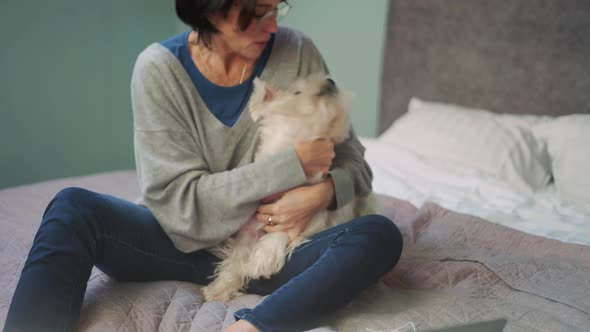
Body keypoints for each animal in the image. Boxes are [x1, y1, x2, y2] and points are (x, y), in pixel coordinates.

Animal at [204, 74, 380, 302]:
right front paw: (218, 289)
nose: (330, 81)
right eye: (297, 91)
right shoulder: (249, 228)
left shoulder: (305, 218)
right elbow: (236, 258)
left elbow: (279, 235)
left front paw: (260, 261)